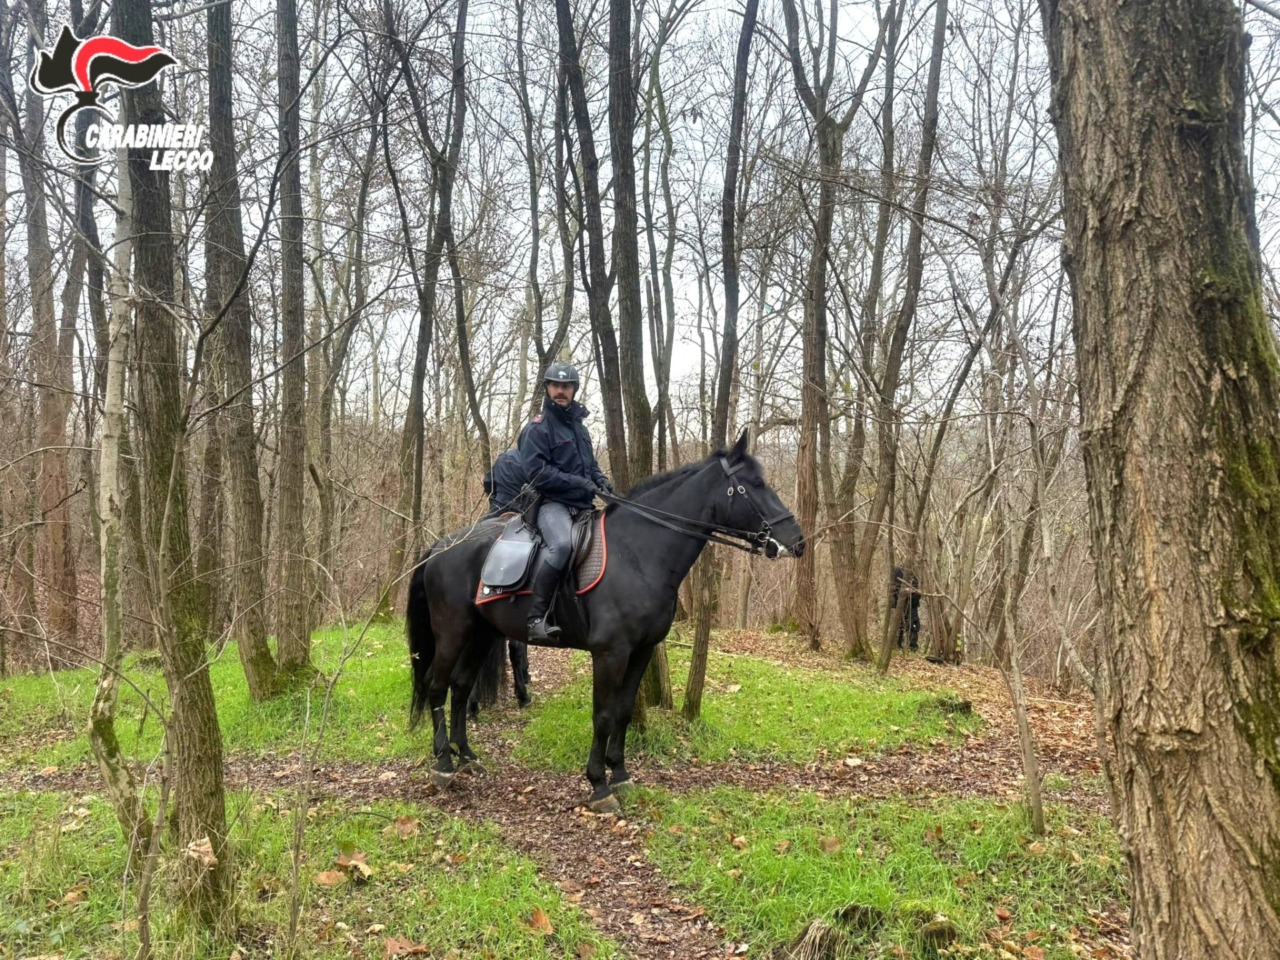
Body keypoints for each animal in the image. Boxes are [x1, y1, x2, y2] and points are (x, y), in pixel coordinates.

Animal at [406, 430, 804, 811]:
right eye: (754, 484)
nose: (796, 542)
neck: (638, 554)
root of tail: (442, 546)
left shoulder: (643, 650)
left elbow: (624, 711)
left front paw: (621, 774)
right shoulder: (609, 653)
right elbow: (603, 715)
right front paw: (598, 785)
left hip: (482, 634)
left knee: (460, 688)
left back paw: (466, 756)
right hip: (453, 632)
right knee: (436, 686)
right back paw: (443, 763)